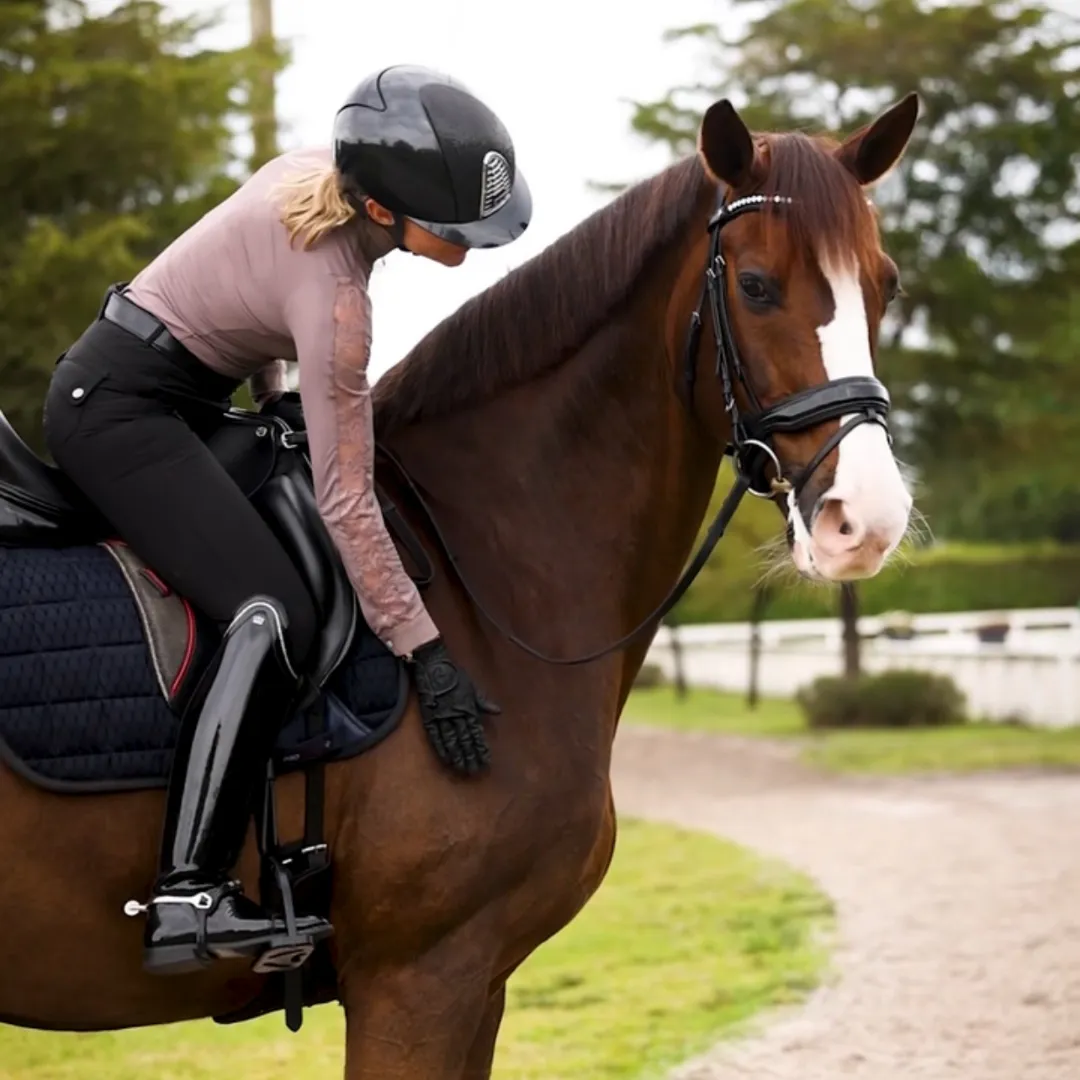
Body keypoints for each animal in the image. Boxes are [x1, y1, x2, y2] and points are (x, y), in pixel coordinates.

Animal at [0, 95, 920, 1080]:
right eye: (754, 286)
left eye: (885, 285)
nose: (866, 521)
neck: (482, 576)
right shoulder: (421, 979)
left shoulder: (480, 984)